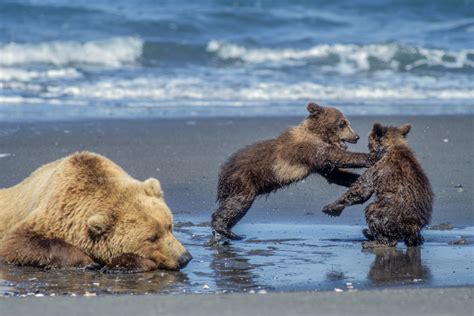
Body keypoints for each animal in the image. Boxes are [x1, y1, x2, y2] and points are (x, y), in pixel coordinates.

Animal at [0, 151, 193, 272]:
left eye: (169, 226)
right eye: (152, 238)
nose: (184, 258)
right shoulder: (52, 214)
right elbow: (16, 243)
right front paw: (88, 262)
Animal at [211, 102, 378, 241]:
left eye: (347, 122)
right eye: (342, 123)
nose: (356, 136)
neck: (317, 133)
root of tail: (223, 173)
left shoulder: (318, 164)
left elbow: (335, 175)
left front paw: (358, 179)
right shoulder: (310, 149)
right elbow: (337, 156)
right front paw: (371, 156)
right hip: (243, 181)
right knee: (237, 204)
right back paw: (226, 230)